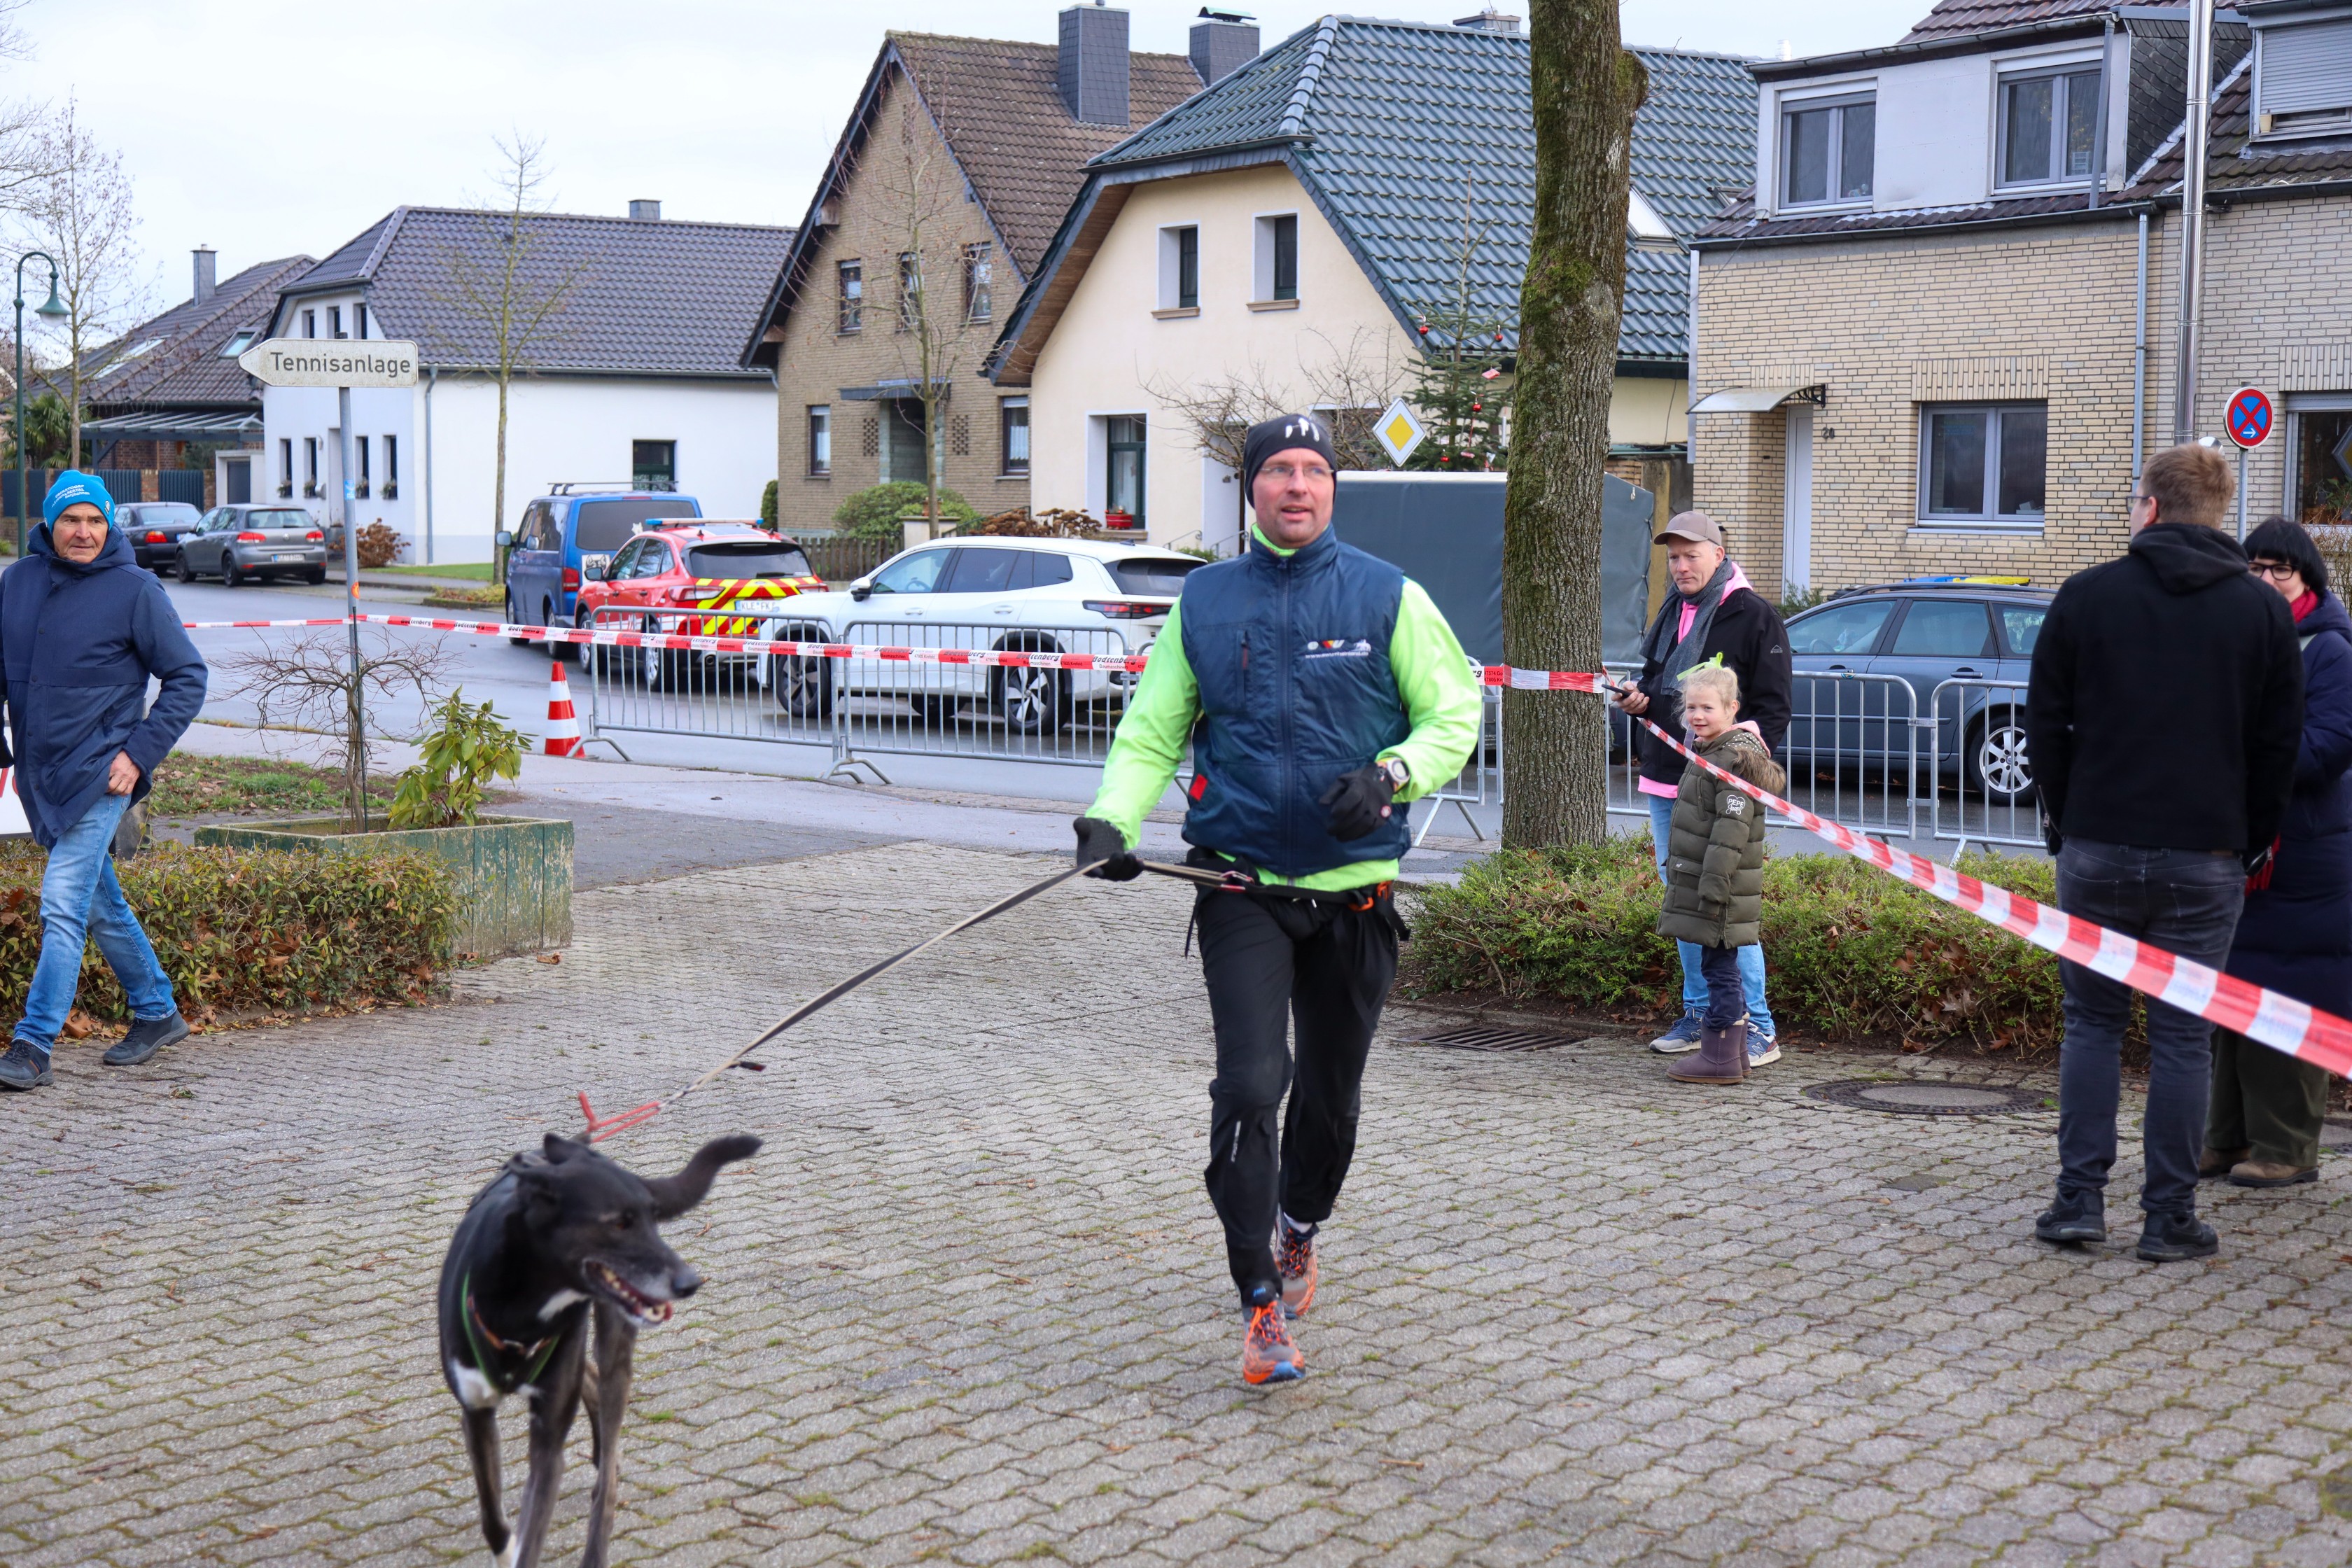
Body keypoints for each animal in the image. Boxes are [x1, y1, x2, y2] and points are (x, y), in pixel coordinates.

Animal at [438, 1131, 760, 1567]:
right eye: (619, 1223)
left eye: (653, 1217)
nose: (690, 1282)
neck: (521, 1310)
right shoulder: (476, 1412)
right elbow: (494, 1522)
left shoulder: (549, 1441)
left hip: (613, 1349)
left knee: (606, 1483)